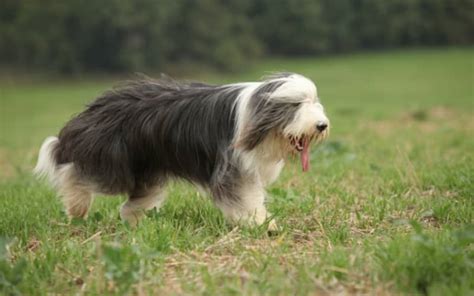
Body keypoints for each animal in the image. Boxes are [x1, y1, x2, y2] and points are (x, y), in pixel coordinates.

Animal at [33, 73, 330, 230]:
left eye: (314, 101)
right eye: (296, 104)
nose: (322, 125)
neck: (256, 113)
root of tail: (94, 109)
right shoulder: (231, 168)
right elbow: (244, 199)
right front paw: (264, 225)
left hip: (148, 168)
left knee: (133, 202)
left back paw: (135, 223)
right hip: (112, 161)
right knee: (75, 173)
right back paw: (77, 207)